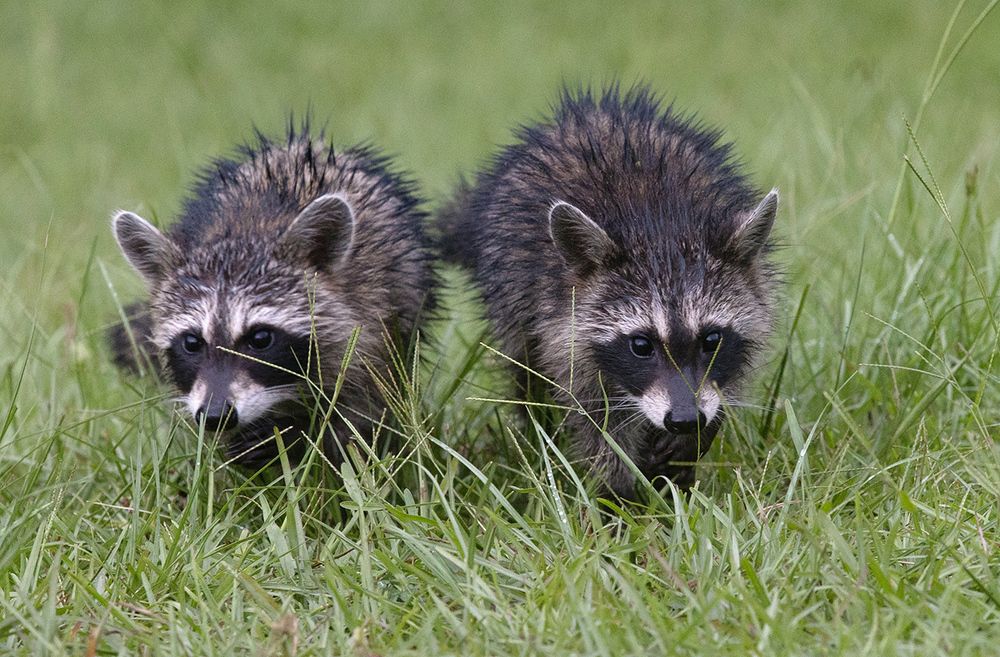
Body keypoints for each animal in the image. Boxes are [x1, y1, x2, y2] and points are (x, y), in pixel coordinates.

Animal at [109, 124, 434, 468]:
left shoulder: (372, 322)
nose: (215, 416)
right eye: (192, 342)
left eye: (261, 338)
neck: (247, 231)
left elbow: (355, 418)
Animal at [440, 86, 779, 499]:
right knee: (526, 369)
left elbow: (725, 386)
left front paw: (689, 452)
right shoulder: (561, 324)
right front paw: (616, 494)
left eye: (711, 339)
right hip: (509, 289)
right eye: (641, 345)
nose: (685, 419)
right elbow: (594, 419)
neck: (661, 230)